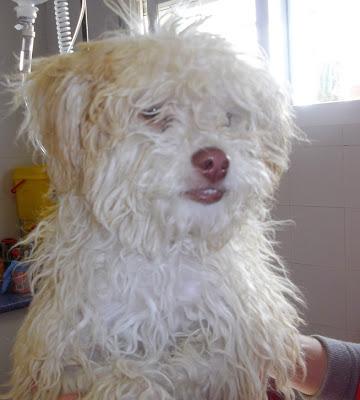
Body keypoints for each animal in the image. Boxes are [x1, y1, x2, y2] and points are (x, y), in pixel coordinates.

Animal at [4, 7, 304, 400]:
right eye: (152, 111)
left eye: (229, 116)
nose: (215, 161)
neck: (164, 250)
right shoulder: (60, 351)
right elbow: (114, 373)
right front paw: (130, 382)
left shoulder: (245, 333)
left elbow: (199, 361)